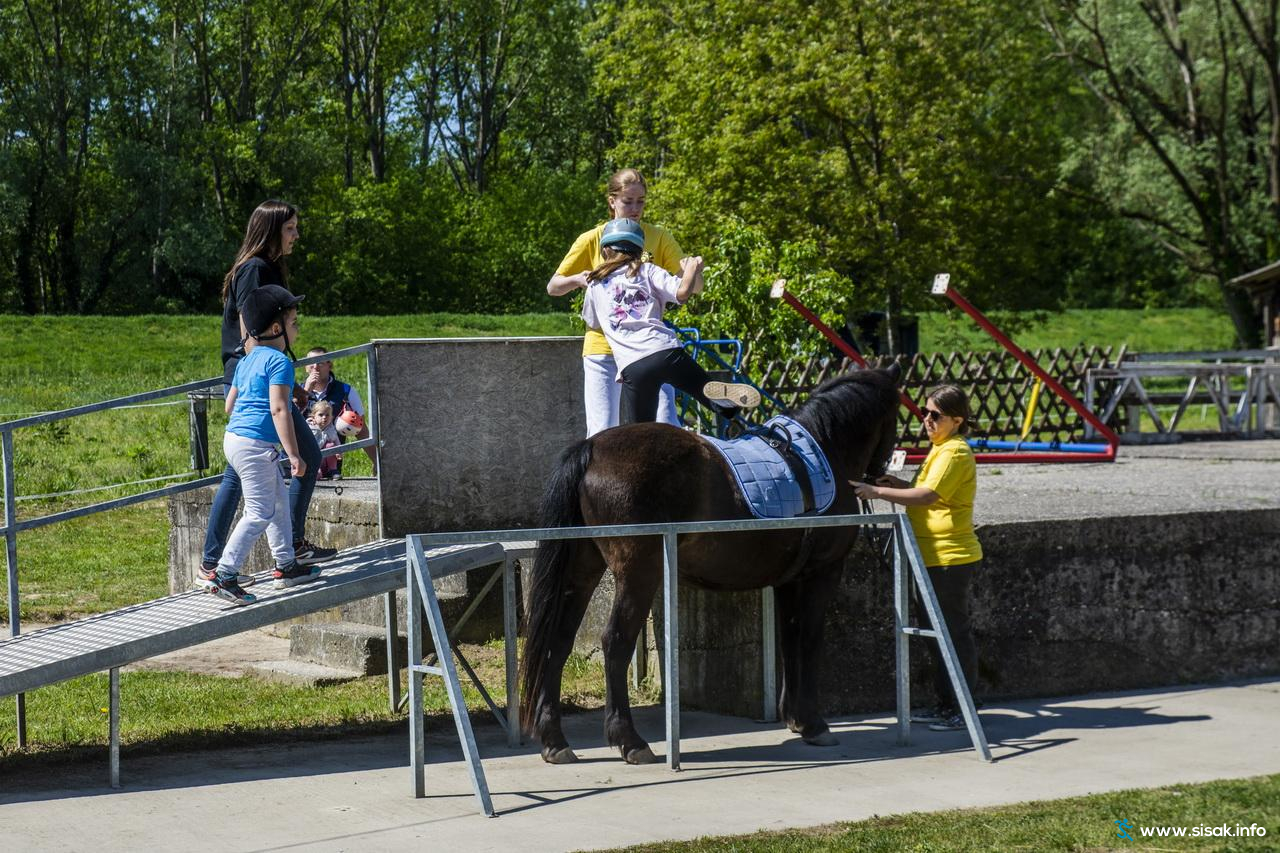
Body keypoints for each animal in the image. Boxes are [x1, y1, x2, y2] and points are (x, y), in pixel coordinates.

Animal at [518, 363, 903, 764]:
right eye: (894, 414)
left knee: (558, 640)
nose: (881, 470)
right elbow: (810, 638)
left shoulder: (789, 579)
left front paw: (795, 717)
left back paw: (555, 740)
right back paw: (630, 740)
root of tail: (591, 450)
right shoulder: (822, 572)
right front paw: (814, 724)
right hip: (639, 573)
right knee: (616, 642)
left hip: (582, 569)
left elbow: (789, 638)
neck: (820, 453)